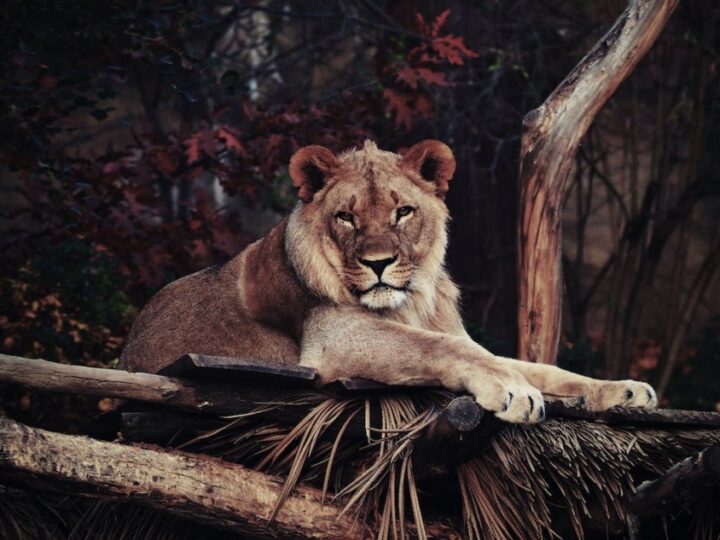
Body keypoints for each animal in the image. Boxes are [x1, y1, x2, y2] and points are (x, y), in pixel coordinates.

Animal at [119, 139, 660, 422]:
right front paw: (511, 389)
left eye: (403, 212)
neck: (410, 302)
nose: (378, 263)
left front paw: (623, 390)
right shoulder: (333, 339)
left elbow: (540, 367)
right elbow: (445, 349)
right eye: (345, 217)